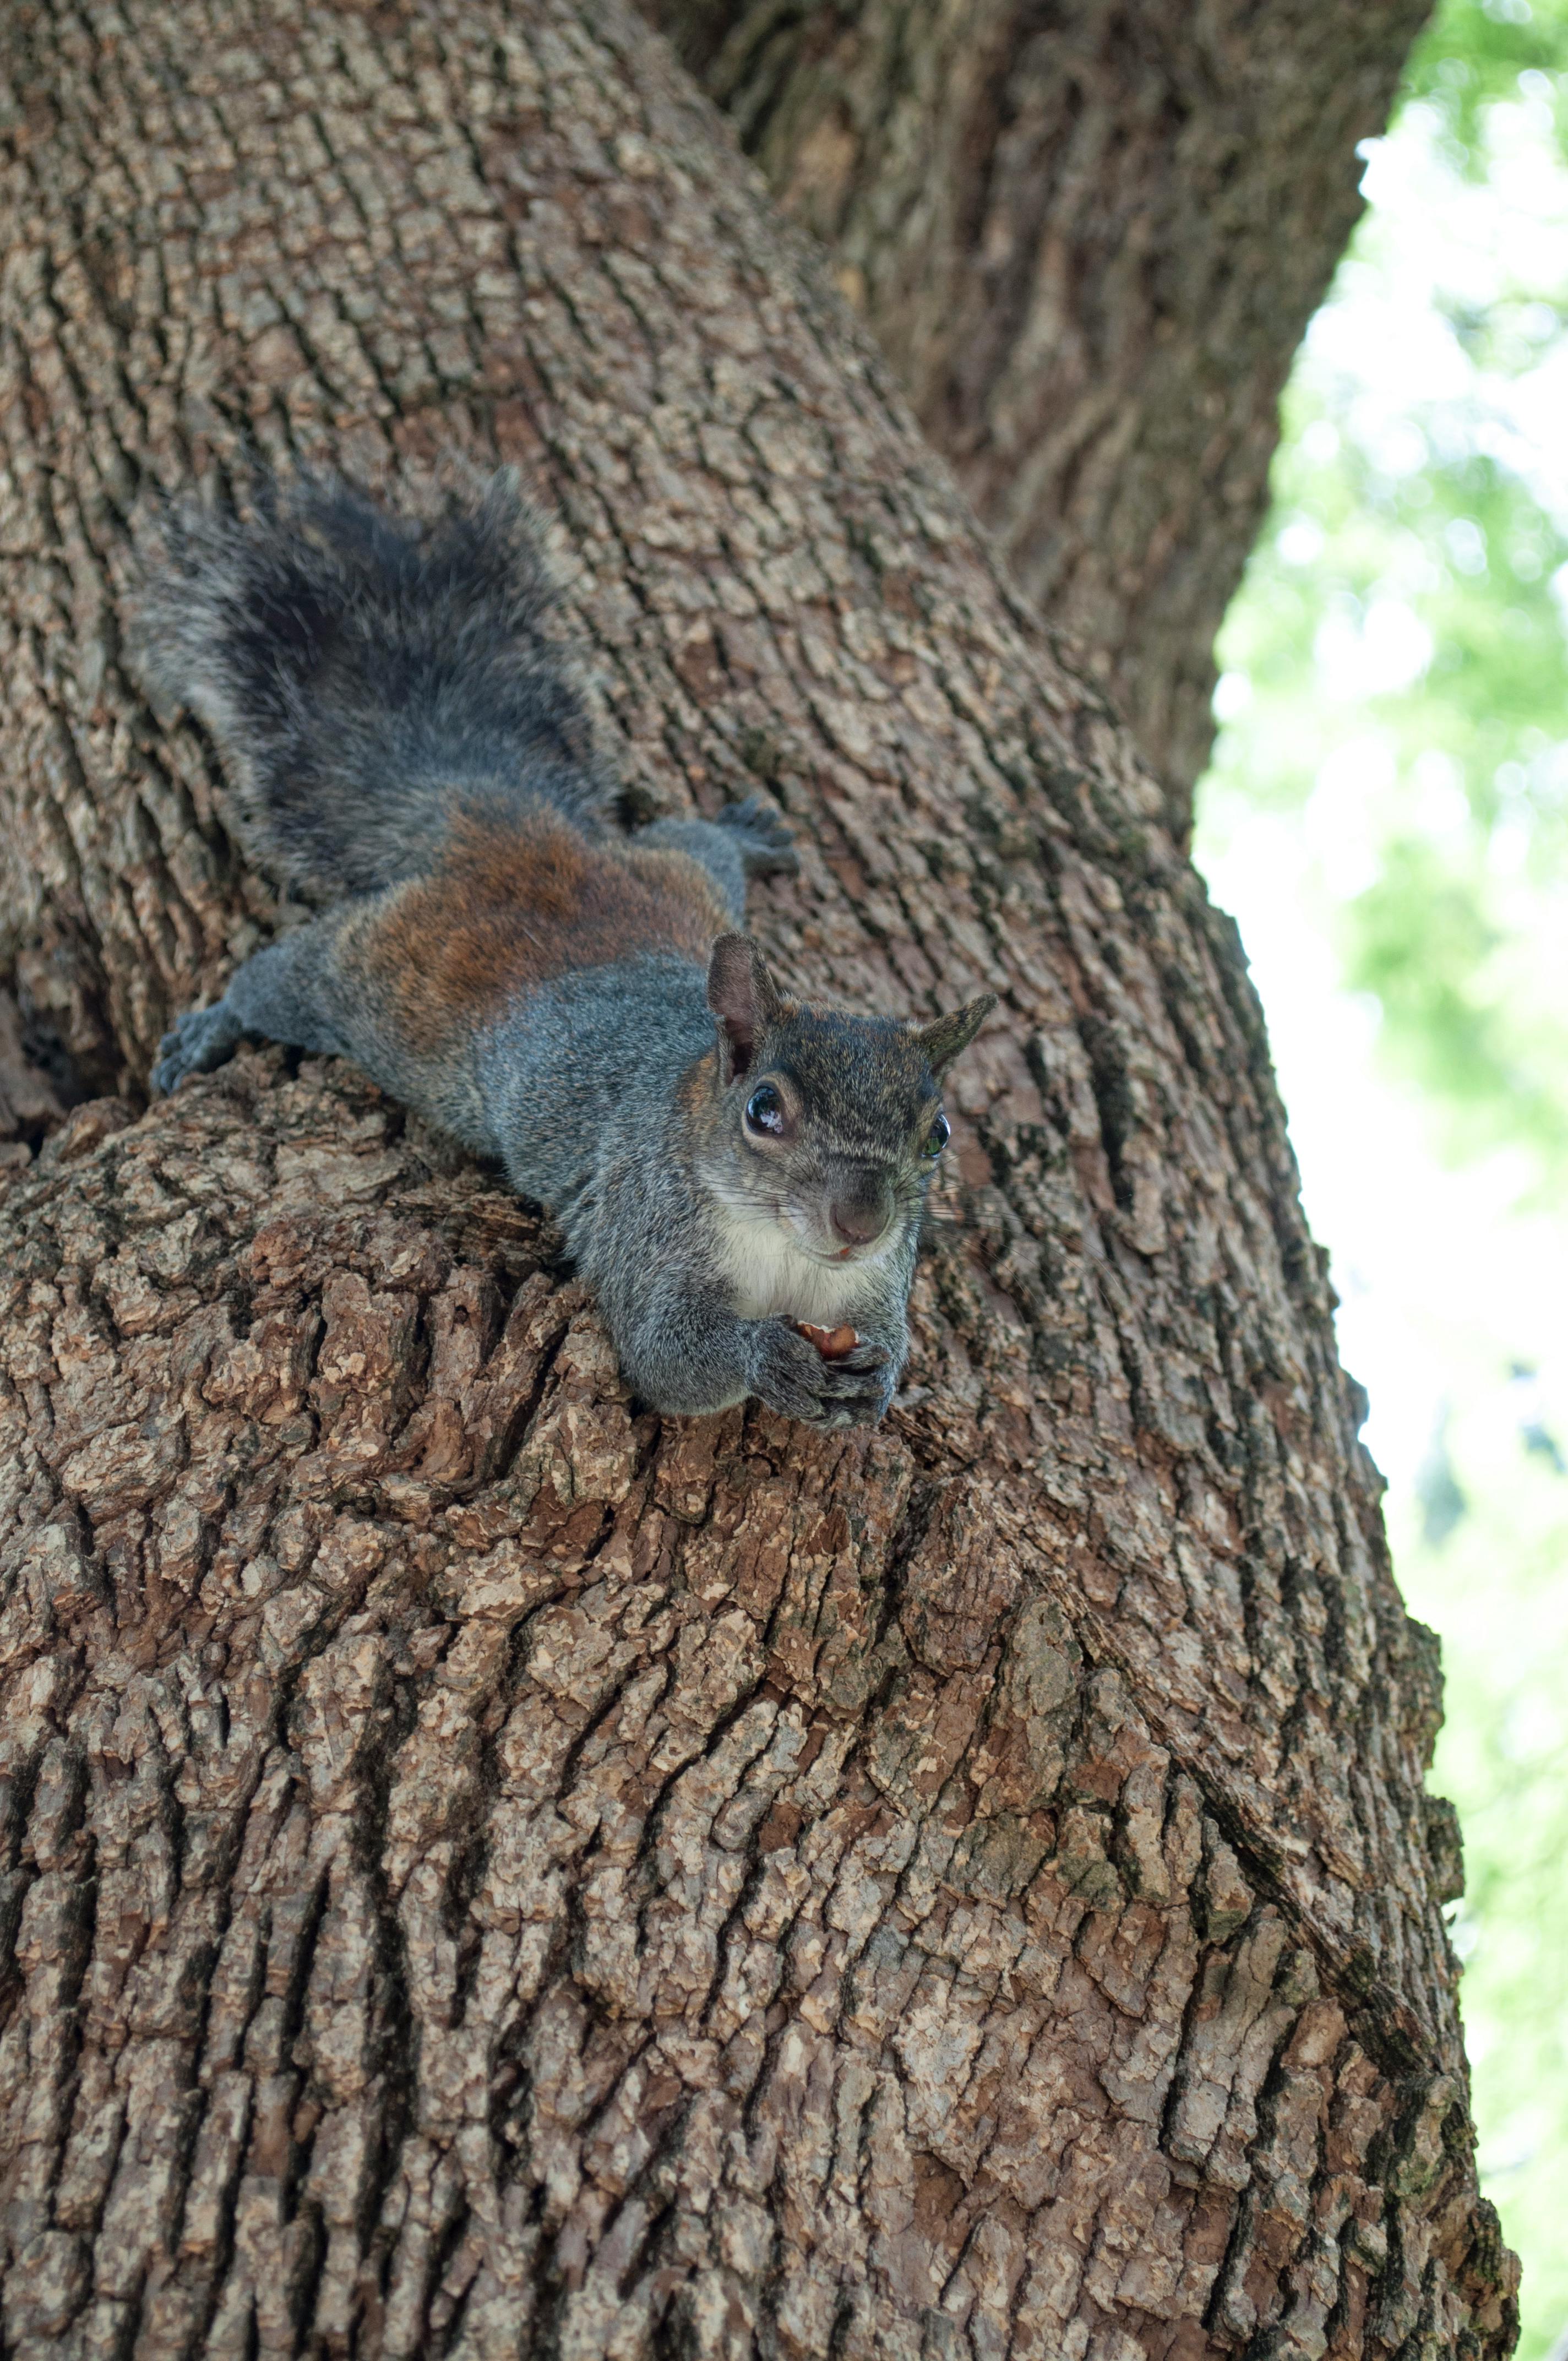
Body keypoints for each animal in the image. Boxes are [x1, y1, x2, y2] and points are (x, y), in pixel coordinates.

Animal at [132, 463, 992, 1416]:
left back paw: (747, 833)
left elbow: (883, 1332)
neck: (787, 1254)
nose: (860, 1223)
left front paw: (885, 1374)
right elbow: (671, 1357)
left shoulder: (875, 1282)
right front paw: (769, 1357)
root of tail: (511, 829)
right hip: (373, 983)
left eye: (938, 1134)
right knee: (281, 978)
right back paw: (215, 1025)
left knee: (702, 843)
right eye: (764, 1111)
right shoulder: (644, 1230)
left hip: (677, 873)